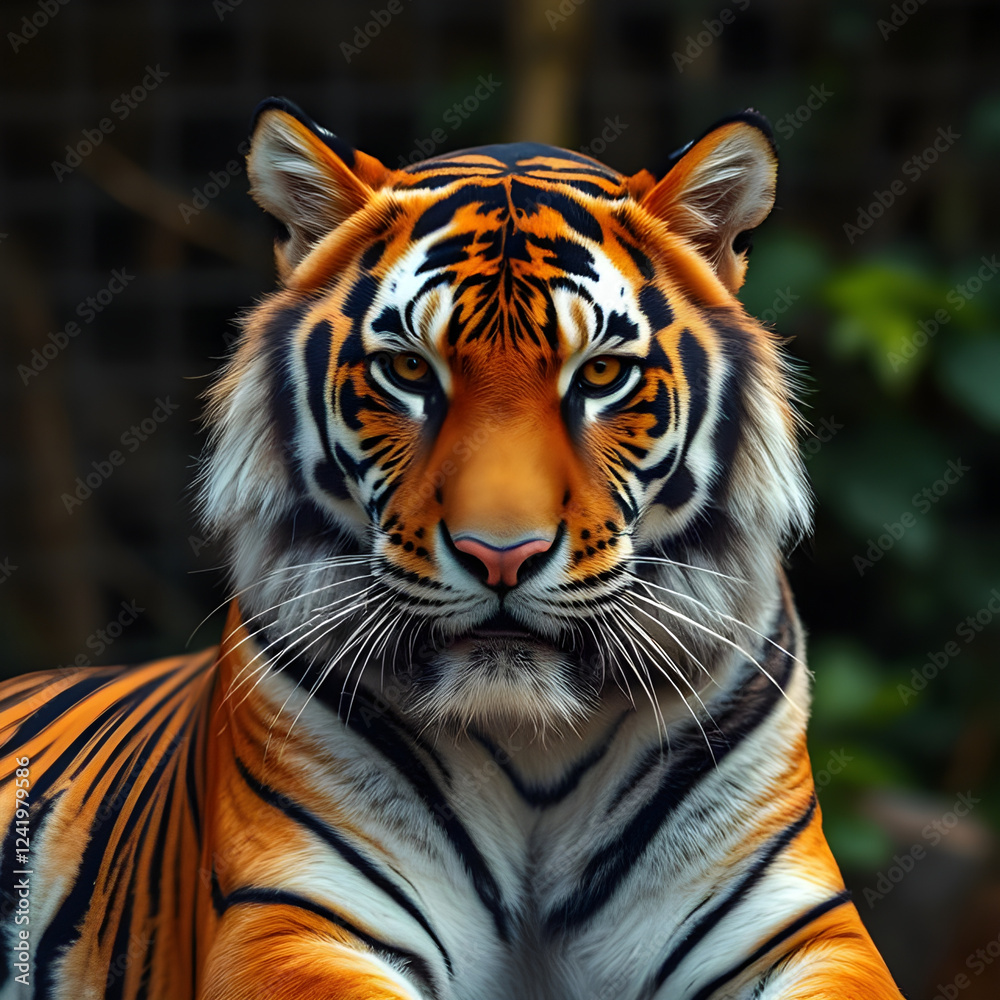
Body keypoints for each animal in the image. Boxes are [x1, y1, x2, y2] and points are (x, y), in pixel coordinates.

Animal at [0, 97, 903, 1000]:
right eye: (407, 370)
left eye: (600, 375)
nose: (501, 556)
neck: (536, 743)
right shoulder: (290, 914)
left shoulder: (795, 928)